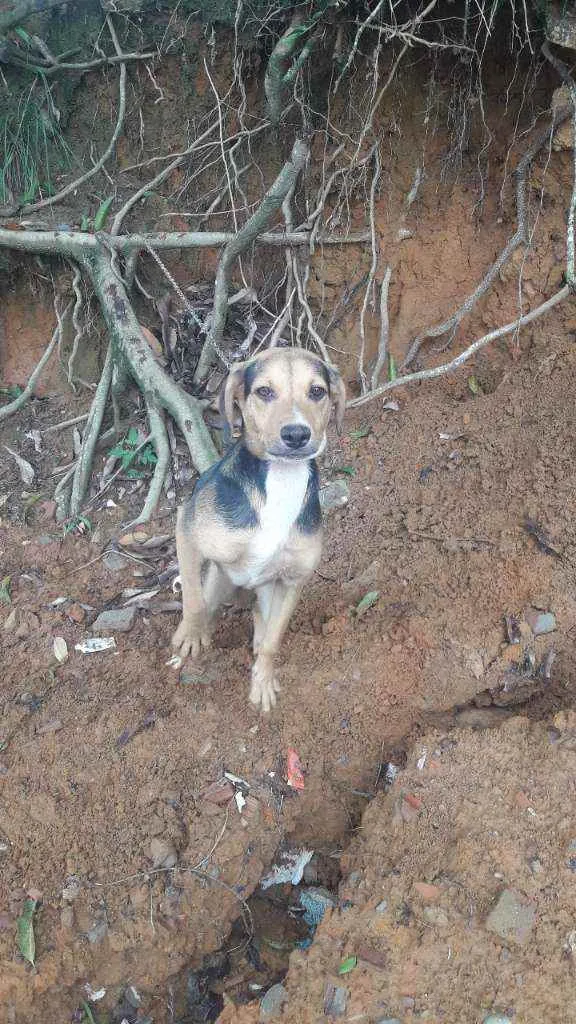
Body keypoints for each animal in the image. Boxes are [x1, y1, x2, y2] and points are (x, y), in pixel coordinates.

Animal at [168, 344, 342, 712]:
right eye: (264, 392)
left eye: (317, 391)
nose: (296, 434)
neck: (281, 479)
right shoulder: (186, 528)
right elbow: (193, 601)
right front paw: (190, 638)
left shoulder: (293, 582)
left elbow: (273, 643)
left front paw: (262, 682)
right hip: (218, 580)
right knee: (206, 604)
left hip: (265, 592)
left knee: (260, 625)